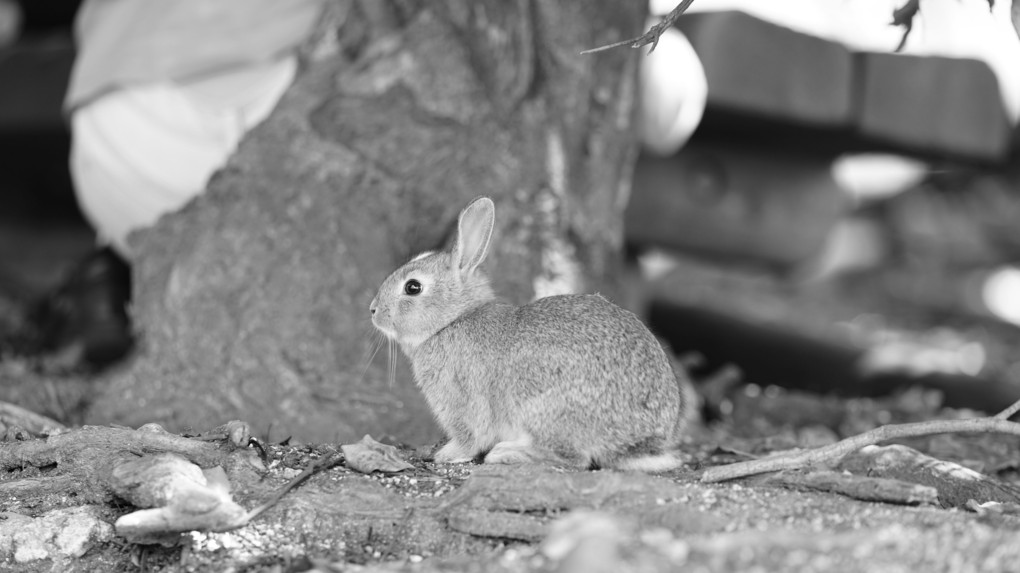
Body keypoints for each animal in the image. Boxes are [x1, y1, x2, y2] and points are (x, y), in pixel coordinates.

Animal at [371, 194, 689, 469]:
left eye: (413, 287)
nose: (373, 310)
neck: (452, 321)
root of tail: (636, 443)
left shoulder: (462, 401)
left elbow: (469, 436)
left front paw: (448, 454)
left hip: (542, 407)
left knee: (573, 458)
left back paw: (507, 453)